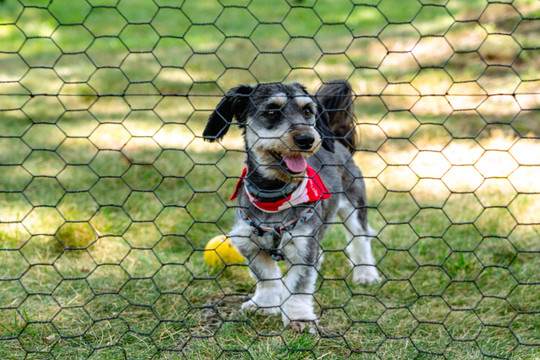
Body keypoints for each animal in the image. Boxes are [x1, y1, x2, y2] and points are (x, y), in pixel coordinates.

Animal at [204, 80, 384, 334]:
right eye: (271, 112)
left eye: (307, 111)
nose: (307, 139)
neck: (275, 197)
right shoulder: (248, 242)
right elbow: (266, 277)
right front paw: (265, 304)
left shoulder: (303, 246)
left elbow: (299, 284)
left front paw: (299, 317)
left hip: (354, 205)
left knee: (361, 240)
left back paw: (366, 274)